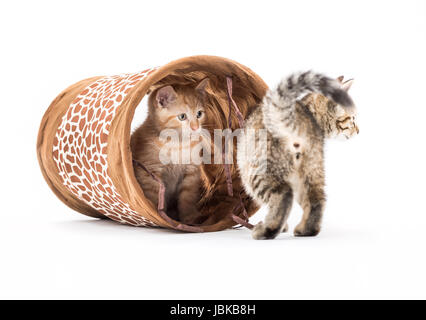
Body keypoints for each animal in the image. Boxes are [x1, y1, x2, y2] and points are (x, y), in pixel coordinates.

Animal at [131, 79, 209, 224]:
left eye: (199, 114)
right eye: (182, 116)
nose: (196, 128)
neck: (178, 144)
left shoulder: (191, 173)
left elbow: (188, 199)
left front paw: (190, 220)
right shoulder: (149, 172)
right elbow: (155, 198)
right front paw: (159, 216)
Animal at [238, 71, 358, 239]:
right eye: (352, 120)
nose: (358, 130)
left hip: (256, 171)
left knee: (283, 196)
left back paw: (266, 230)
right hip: (311, 170)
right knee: (316, 199)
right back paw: (306, 230)